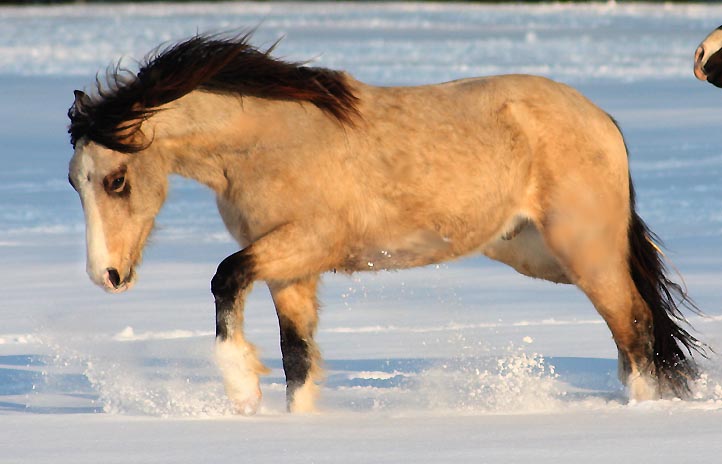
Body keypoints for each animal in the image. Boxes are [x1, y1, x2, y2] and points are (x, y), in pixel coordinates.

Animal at [68, 33, 703, 414]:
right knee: (636, 325)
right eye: (76, 182)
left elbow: (225, 278)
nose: (107, 276)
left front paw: (242, 387)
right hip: (540, 255)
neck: (271, 142)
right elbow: (297, 357)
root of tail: (601, 119)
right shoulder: (290, 271)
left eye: (116, 180)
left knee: (635, 326)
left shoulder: (307, 245)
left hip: (583, 250)